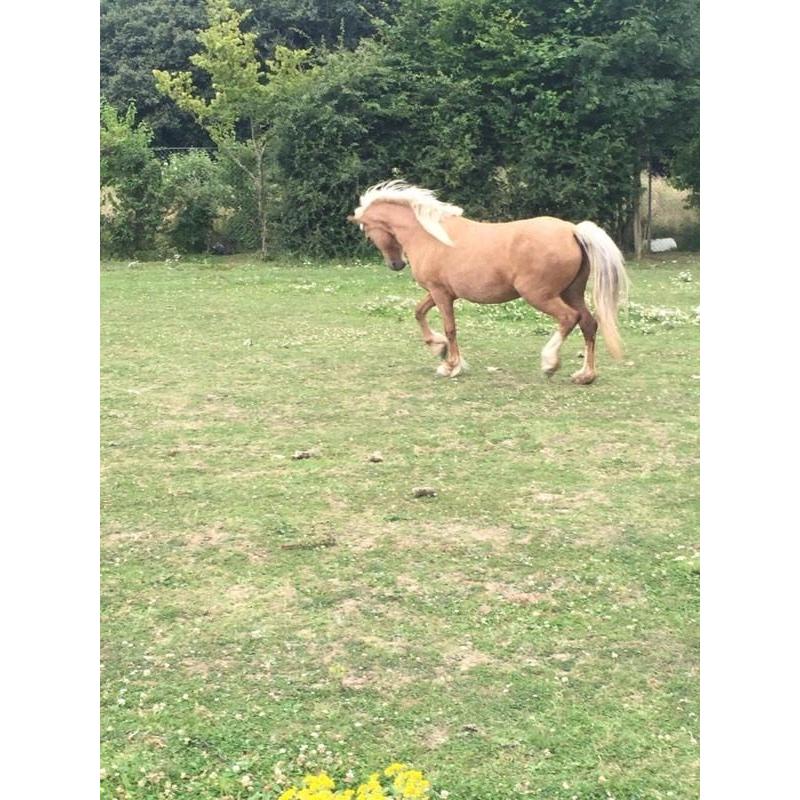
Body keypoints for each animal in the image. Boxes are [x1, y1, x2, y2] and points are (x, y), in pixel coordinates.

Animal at [348, 180, 629, 385]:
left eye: (368, 231)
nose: (396, 264)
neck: (430, 236)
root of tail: (572, 230)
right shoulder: (441, 292)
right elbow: (419, 312)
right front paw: (438, 350)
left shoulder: (441, 294)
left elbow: (450, 328)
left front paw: (451, 366)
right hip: (572, 292)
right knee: (589, 323)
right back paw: (585, 375)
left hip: (540, 295)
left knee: (569, 318)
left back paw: (549, 363)